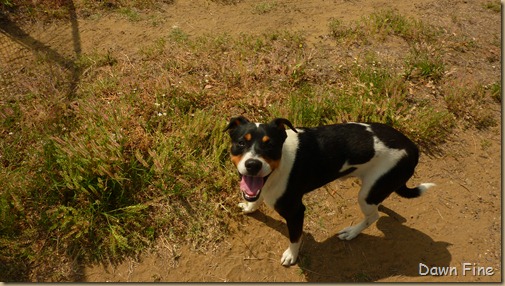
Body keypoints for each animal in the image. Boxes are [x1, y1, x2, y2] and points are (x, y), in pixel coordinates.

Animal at [223, 115, 434, 266]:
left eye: (270, 146)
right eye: (241, 143)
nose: (253, 164)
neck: (280, 165)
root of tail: (413, 148)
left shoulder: (295, 211)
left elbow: (295, 237)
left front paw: (291, 256)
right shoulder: (260, 188)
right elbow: (255, 198)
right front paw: (250, 207)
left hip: (366, 196)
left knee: (372, 216)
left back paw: (352, 232)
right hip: (375, 187)